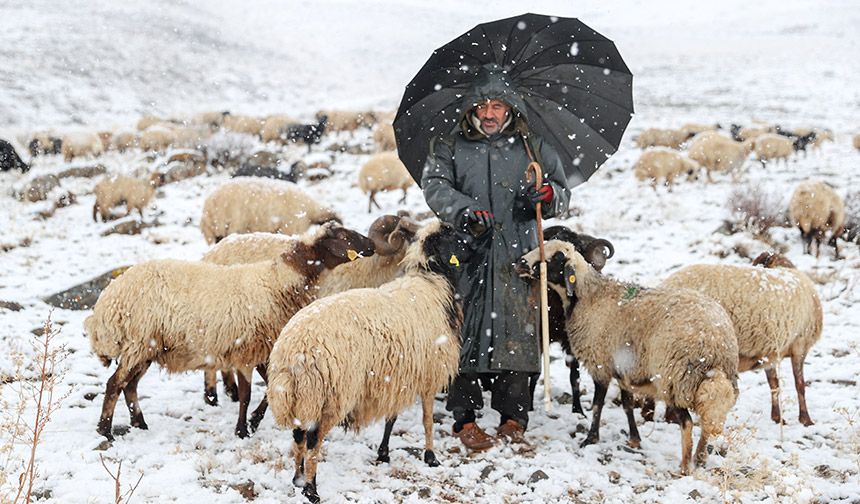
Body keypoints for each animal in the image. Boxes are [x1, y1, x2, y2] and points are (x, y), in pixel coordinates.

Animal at [85, 224, 378, 440]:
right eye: (345, 236)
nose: (373, 246)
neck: (279, 281)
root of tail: (106, 303)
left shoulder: (261, 348)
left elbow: (269, 389)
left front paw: (254, 422)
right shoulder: (245, 350)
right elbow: (247, 395)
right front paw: (242, 429)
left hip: (147, 347)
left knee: (129, 385)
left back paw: (139, 423)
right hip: (138, 342)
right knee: (115, 384)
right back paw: (105, 431)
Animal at [270, 221, 466, 504]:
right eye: (450, 233)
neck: (431, 279)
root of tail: (294, 351)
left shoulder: (398, 375)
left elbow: (392, 417)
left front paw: (384, 453)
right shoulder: (430, 372)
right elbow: (427, 419)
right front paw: (431, 457)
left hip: (307, 397)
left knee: (298, 436)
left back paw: (297, 479)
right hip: (332, 394)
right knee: (314, 440)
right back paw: (311, 489)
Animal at [512, 242, 744, 474]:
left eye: (555, 257)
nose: (520, 262)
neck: (588, 297)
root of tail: (715, 341)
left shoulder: (601, 364)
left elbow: (597, 405)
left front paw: (590, 439)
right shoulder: (623, 369)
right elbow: (627, 405)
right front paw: (634, 439)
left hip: (674, 378)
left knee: (686, 422)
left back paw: (685, 466)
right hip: (700, 381)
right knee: (707, 419)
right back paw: (700, 458)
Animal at [660, 252, 824, 426]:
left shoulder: (769, 353)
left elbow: (774, 384)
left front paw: (777, 417)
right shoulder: (800, 344)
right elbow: (800, 385)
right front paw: (806, 419)